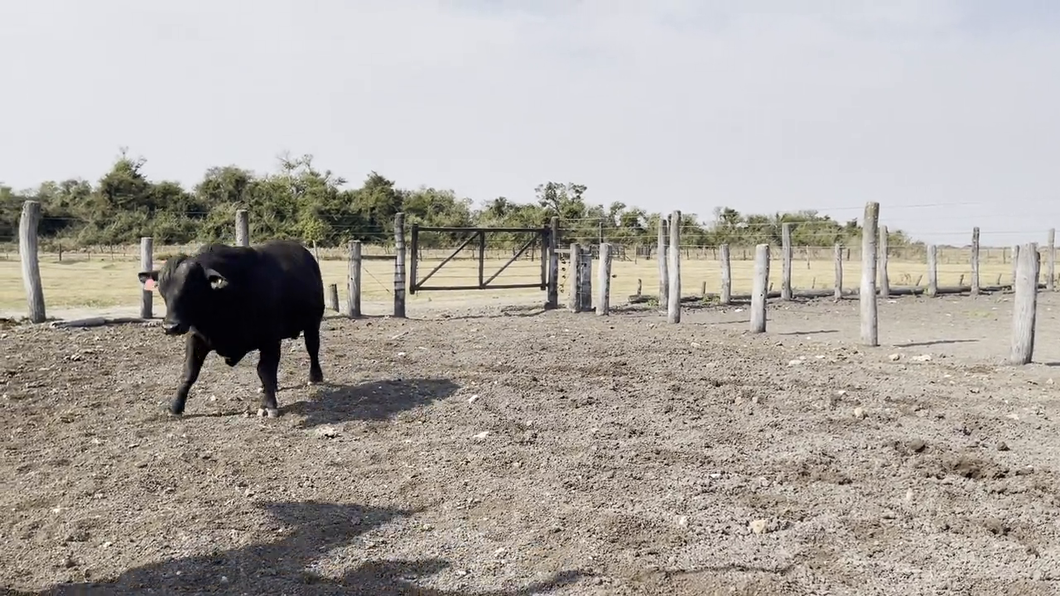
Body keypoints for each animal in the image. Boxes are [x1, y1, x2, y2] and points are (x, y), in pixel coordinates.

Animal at [138, 238, 324, 415]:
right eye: (162, 289)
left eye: (191, 288)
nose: (170, 327)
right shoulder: (196, 337)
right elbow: (189, 371)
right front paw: (175, 406)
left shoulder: (269, 339)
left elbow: (265, 370)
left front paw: (268, 405)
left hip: (313, 324)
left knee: (312, 348)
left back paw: (315, 377)